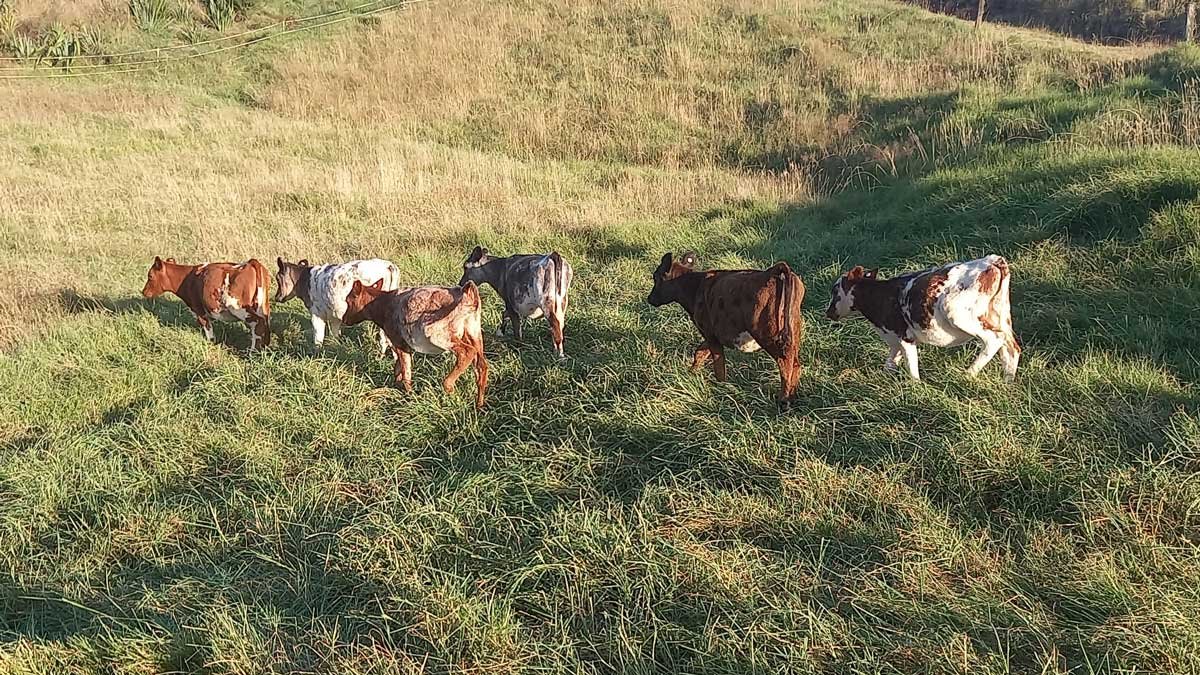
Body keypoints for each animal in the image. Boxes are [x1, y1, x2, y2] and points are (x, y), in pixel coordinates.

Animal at [141, 254, 271, 348]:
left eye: (150, 276)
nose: (144, 292)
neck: (188, 278)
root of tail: (250, 263)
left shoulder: (198, 310)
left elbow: (208, 328)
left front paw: (211, 343)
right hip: (263, 306)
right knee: (265, 323)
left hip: (240, 308)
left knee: (258, 323)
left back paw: (253, 350)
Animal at [648, 251, 806, 408]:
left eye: (656, 277)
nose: (650, 298)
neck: (695, 287)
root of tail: (773, 271)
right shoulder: (711, 335)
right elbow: (699, 353)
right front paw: (691, 374)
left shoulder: (711, 335)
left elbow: (718, 367)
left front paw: (721, 390)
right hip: (793, 330)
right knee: (795, 364)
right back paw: (791, 397)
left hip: (767, 335)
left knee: (785, 362)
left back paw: (783, 400)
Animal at [825, 252, 1022, 379]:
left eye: (835, 290)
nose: (828, 312)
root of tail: (991, 261)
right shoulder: (894, 339)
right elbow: (889, 364)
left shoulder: (905, 337)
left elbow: (912, 368)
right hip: (1000, 316)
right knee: (1011, 349)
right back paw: (1007, 384)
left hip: (958, 314)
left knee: (994, 340)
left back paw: (968, 374)